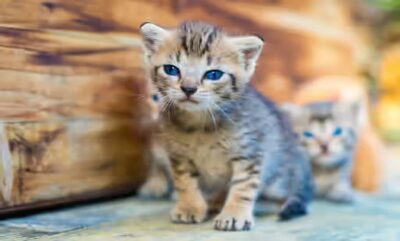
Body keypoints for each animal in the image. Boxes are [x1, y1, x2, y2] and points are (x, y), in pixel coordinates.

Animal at [140, 21, 312, 232]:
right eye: (171, 69)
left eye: (214, 74)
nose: (188, 89)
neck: (200, 125)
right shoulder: (179, 155)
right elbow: (185, 182)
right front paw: (189, 207)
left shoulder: (249, 153)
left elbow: (243, 186)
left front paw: (234, 213)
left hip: (279, 180)